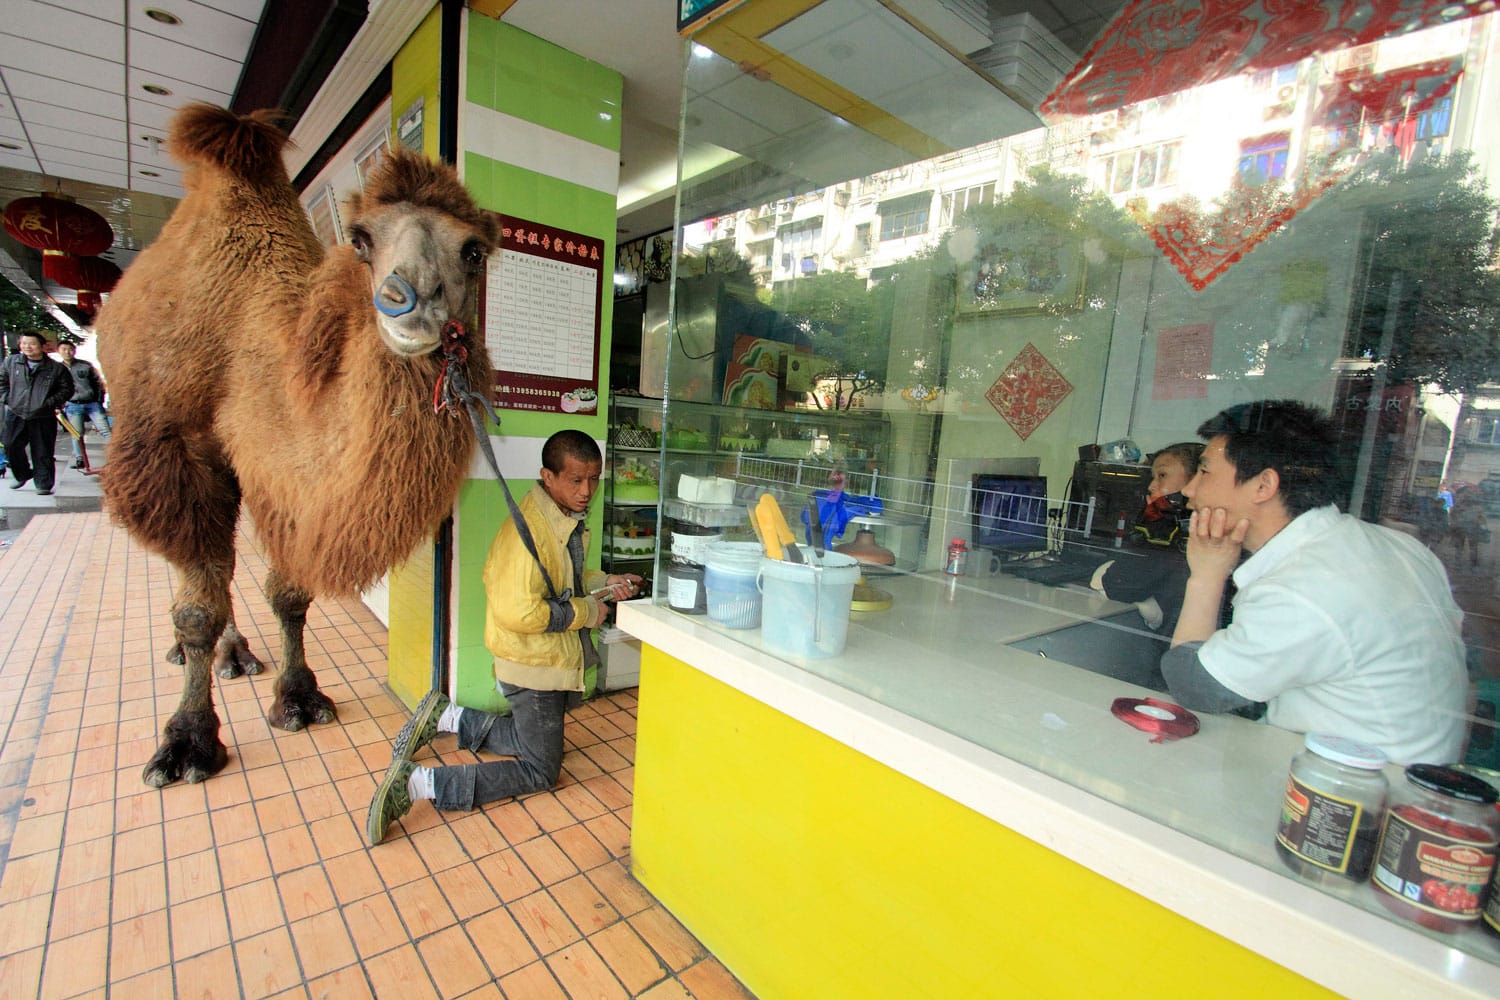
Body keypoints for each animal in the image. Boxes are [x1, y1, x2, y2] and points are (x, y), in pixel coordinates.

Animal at [96, 103, 501, 791]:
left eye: (472, 250)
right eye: (360, 239)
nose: (410, 299)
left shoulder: (278, 484)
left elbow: (288, 594)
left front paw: (299, 697)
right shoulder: (178, 451)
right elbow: (198, 607)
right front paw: (186, 742)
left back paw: (236, 655)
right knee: (193, 573)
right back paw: (199, 654)